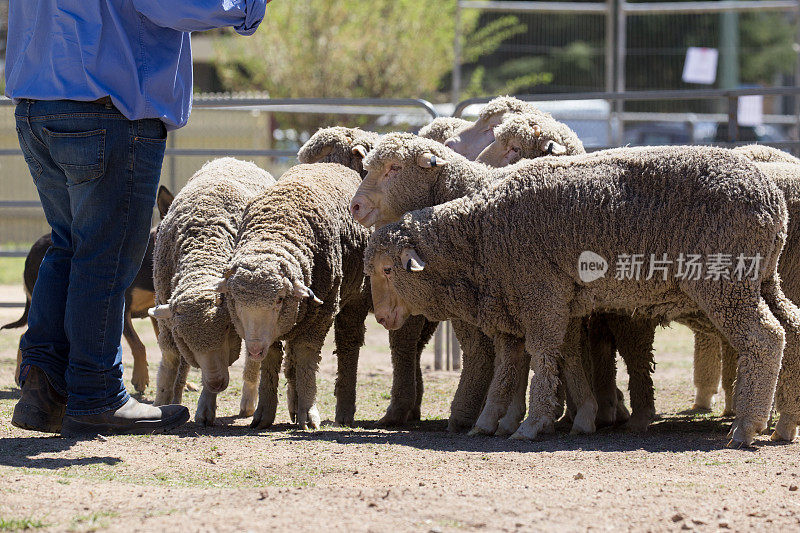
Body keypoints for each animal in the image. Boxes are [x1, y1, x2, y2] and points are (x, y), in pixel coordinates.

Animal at [5, 186, 175, 390]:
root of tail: (32, 248)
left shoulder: (156, 312)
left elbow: (166, 348)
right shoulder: (121, 309)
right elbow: (138, 345)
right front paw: (140, 378)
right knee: (25, 335)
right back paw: (20, 375)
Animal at [148, 157, 276, 424]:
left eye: (227, 328)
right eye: (184, 337)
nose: (217, 383)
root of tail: (234, 159)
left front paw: (206, 406)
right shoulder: (166, 320)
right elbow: (171, 360)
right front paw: (163, 402)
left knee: (254, 358)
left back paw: (248, 403)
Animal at [214, 162, 374, 428]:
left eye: (279, 299)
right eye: (236, 301)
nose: (253, 349)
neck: (275, 230)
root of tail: (331, 164)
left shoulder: (321, 313)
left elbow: (307, 357)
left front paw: (309, 413)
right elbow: (272, 360)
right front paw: (264, 413)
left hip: (354, 298)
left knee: (347, 346)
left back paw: (343, 411)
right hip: (299, 315)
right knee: (291, 358)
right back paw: (293, 406)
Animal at [364, 132, 800, 444]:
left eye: (387, 269)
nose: (382, 317)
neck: (480, 232)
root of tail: (770, 197)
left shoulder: (540, 296)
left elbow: (541, 356)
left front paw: (532, 423)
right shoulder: (533, 304)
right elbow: (527, 362)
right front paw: (497, 422)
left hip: (724, 282)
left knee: (765, 338)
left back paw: (747, 426)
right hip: (761, 279)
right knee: (791, 329)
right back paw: (784, 423)